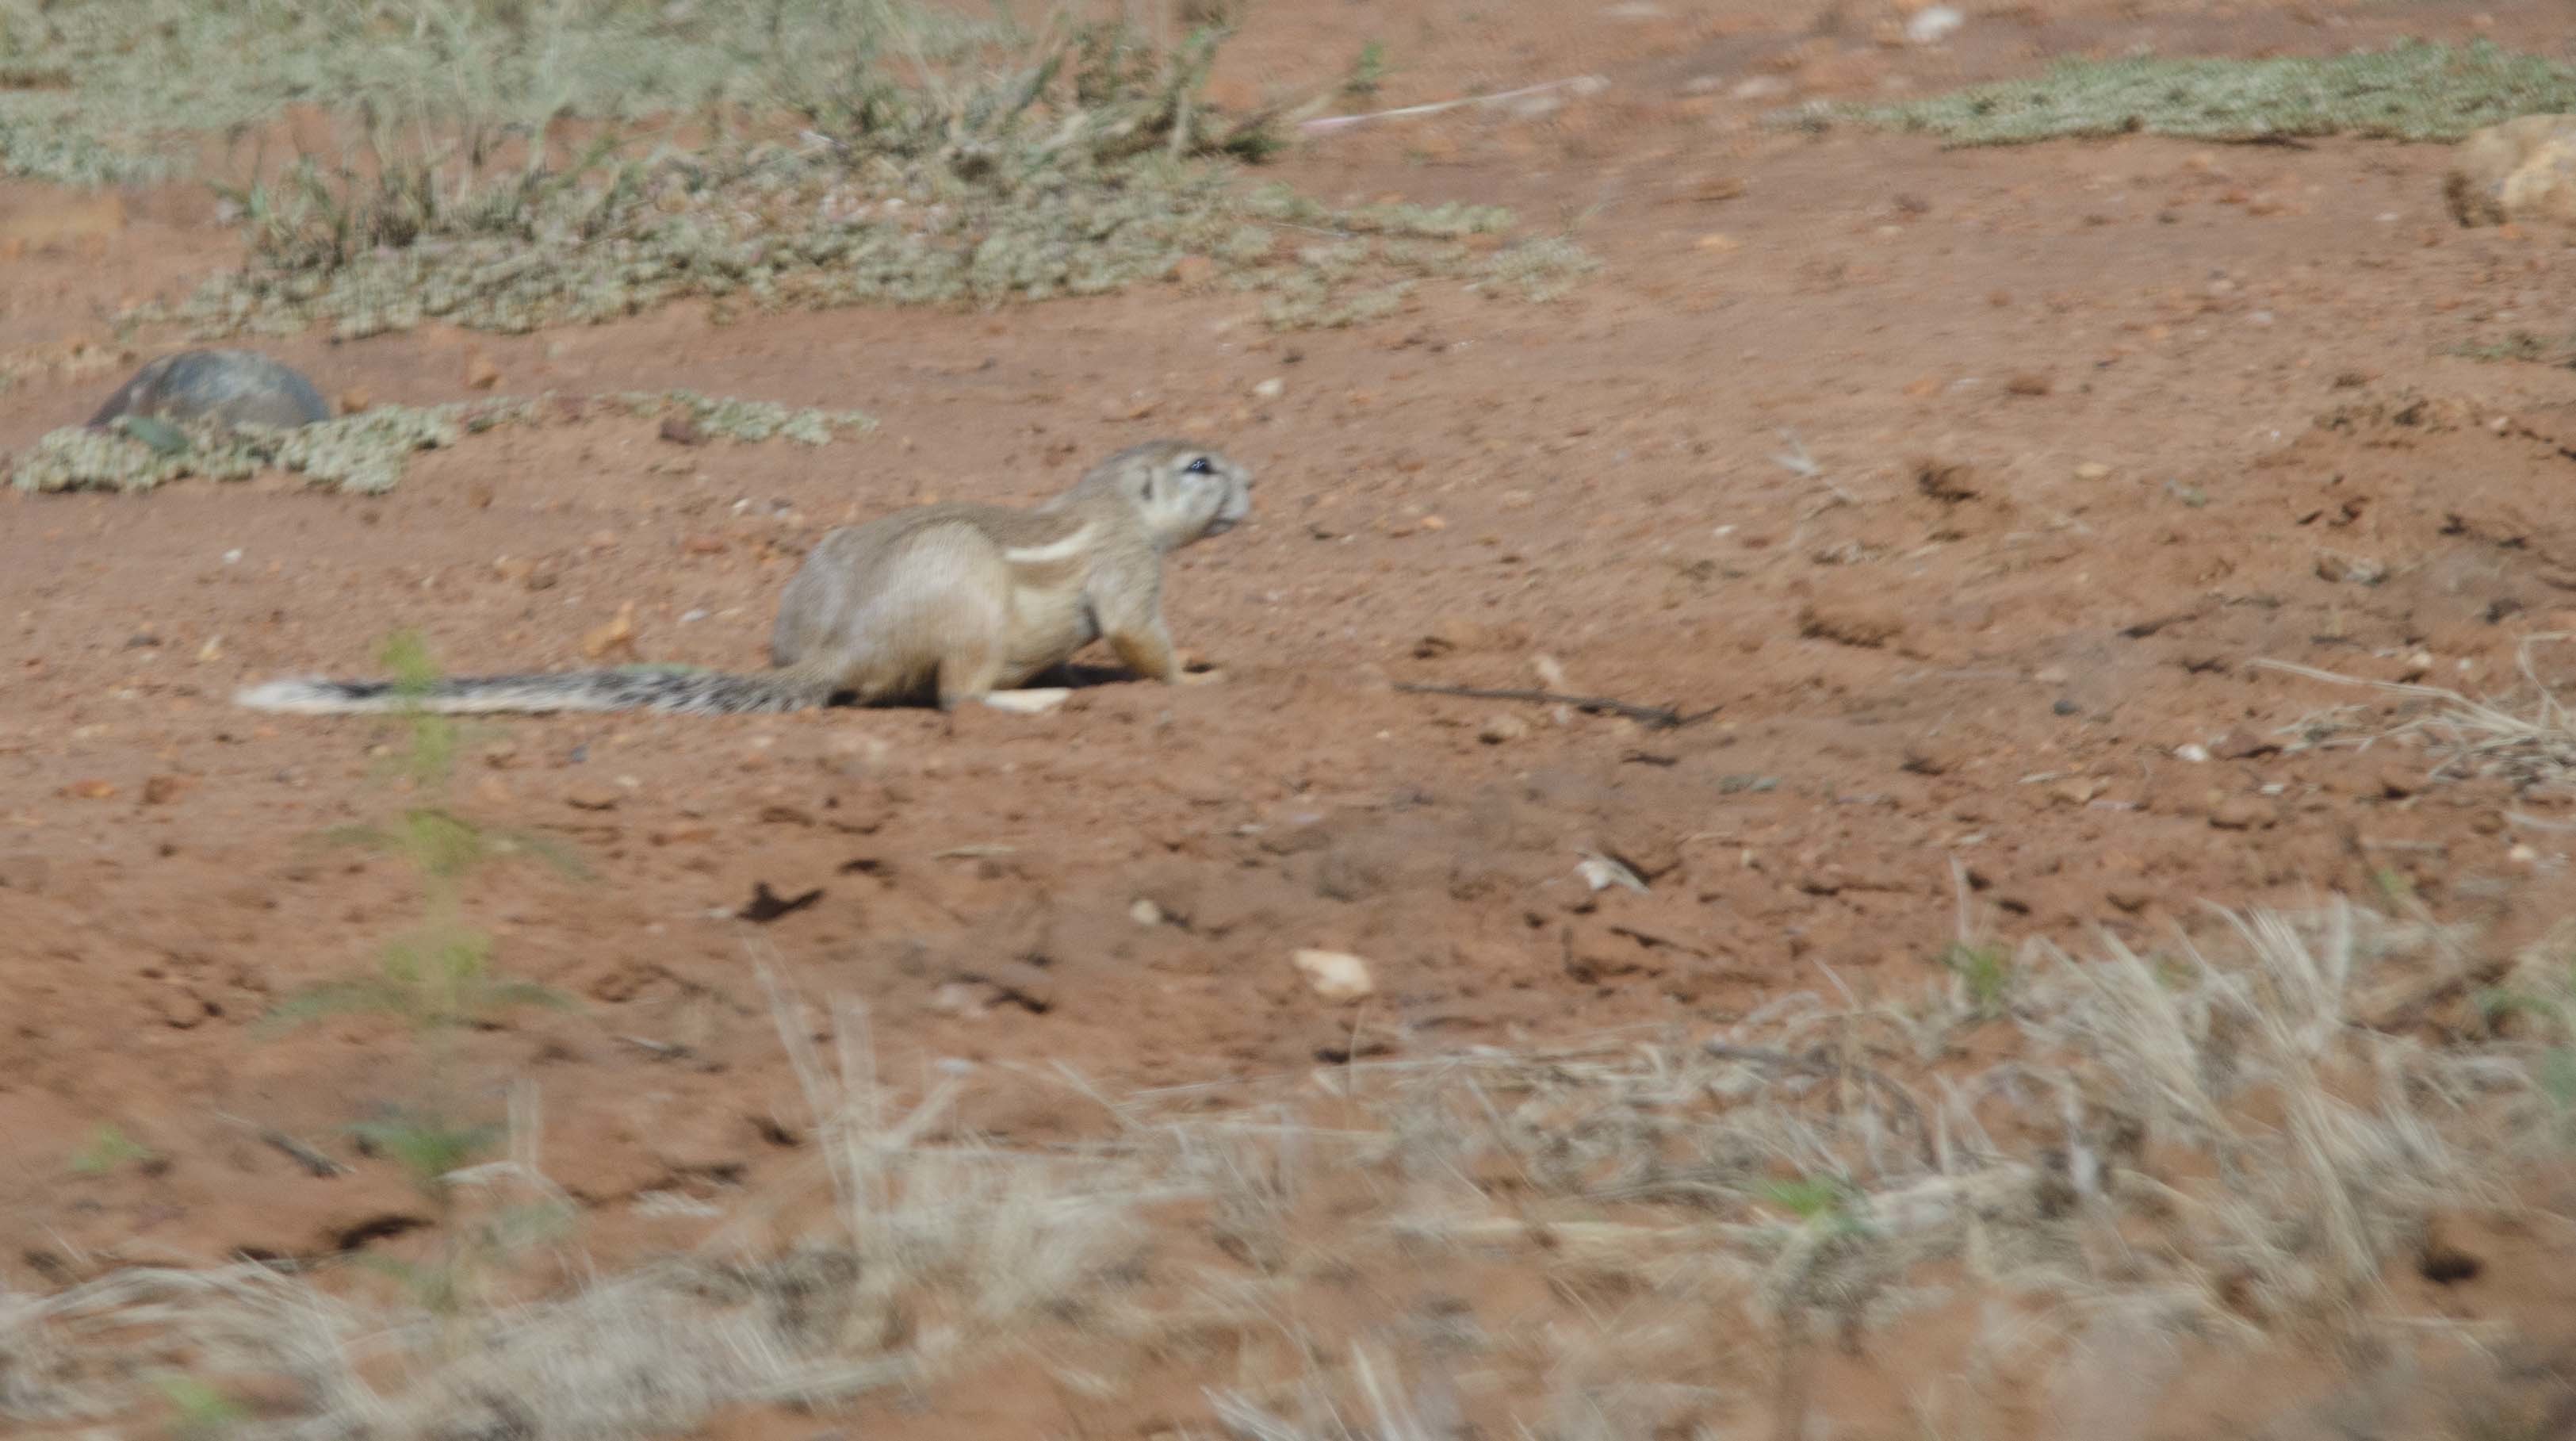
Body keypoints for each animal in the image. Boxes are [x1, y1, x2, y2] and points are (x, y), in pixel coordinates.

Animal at [234, 433, 1257, 716]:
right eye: (1202, 466)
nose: (1258, 480)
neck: (1113, 499)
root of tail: (838, 654)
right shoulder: (1128, 573)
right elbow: (1142, 638)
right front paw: (1202, 676)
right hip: (967, 600)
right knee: (957, 696)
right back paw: (1031, 699)